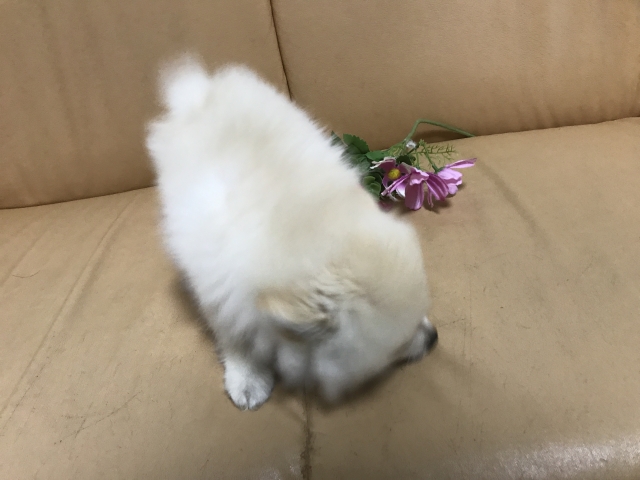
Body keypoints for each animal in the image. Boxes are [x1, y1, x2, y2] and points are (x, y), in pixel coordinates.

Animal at [145, 58, 438, 410]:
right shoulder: (217, 289)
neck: (308, 234)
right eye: (400, 344)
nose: (434, 338)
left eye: (422, 319)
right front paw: (248, 378)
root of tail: (200, 91)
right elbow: (235, 337)